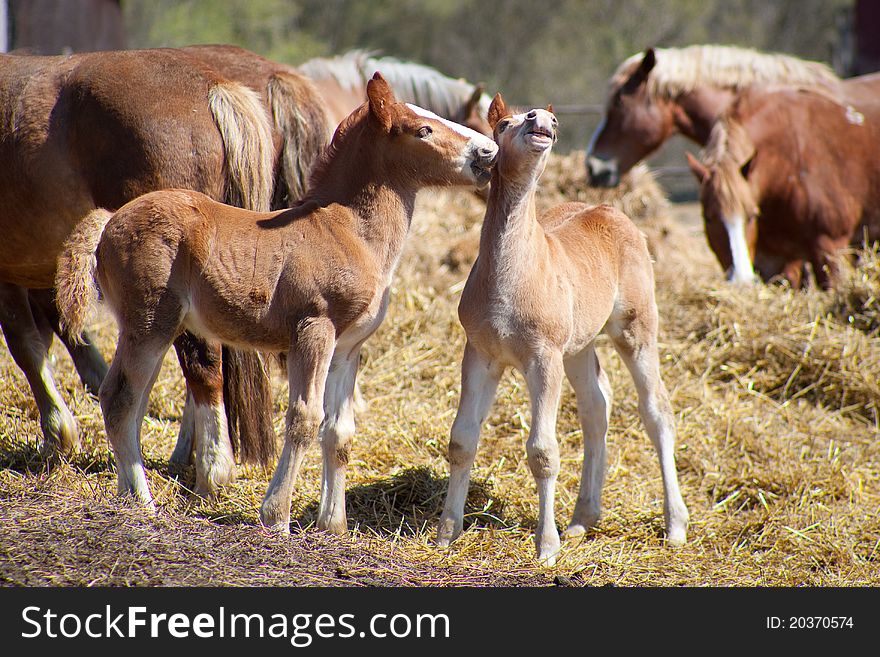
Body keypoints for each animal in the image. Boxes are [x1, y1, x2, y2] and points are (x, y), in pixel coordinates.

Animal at [55, 72, 498, 532]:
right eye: (423, 130)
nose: (487, 152)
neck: (349, 230)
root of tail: (109, 221)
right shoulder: (314, 331)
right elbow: (305, 419)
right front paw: (277, 516)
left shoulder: (347, 348)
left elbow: (339, 432)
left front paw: (333, 525)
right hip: (148, 324)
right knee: (119, 399)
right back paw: (142, 501)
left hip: (153, 330)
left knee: (132, 402)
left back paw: (128, 493)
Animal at [438, 93, 688, 564]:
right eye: (504, 123)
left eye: (549, 122)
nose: (542, 122)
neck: (511, 278)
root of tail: (613, 212)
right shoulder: (480, 353)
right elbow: (462, 440)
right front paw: (446, 533)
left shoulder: (543, 357)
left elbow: (543, 451)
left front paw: (546, 547)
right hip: (579, 346)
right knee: (596, 406)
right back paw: (582, 518)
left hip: (635, 330)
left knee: (657, 410)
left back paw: (675, 526)